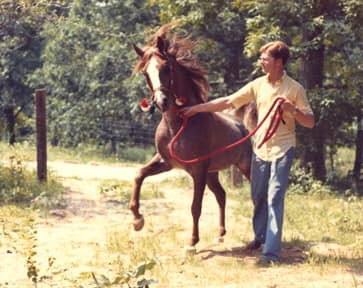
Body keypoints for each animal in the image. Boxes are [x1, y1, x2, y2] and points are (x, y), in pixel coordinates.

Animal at [132, 23, 255, 248]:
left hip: (243, 167)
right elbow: (138, 175)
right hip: (212, 173)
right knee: (221, 195)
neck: (178, 125)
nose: (161, 102)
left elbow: (195, 206)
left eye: (166, 67)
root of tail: (241, 126)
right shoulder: (166, 162)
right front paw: (137, 220)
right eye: (145, 73)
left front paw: (192, 242)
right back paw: (221, 233)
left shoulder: (198, 170)